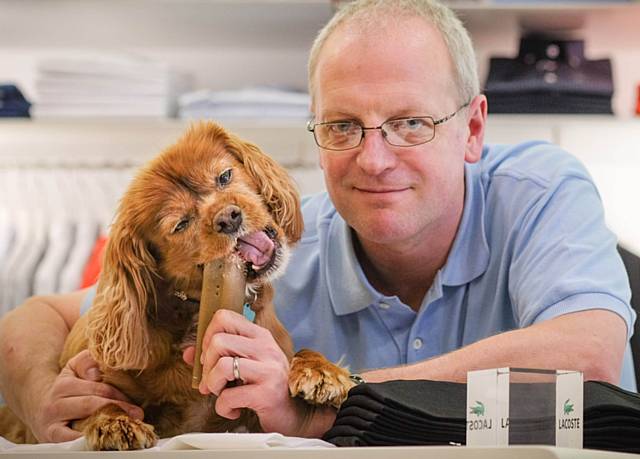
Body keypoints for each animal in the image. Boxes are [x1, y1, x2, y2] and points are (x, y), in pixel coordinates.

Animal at [0, 121, 356, 450]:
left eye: (224, 176)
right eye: (181, 224)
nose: (229, 217)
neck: (191, 315)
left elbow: (297, 359)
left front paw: (321, 372)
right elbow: (97, 404)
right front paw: (115, 423)